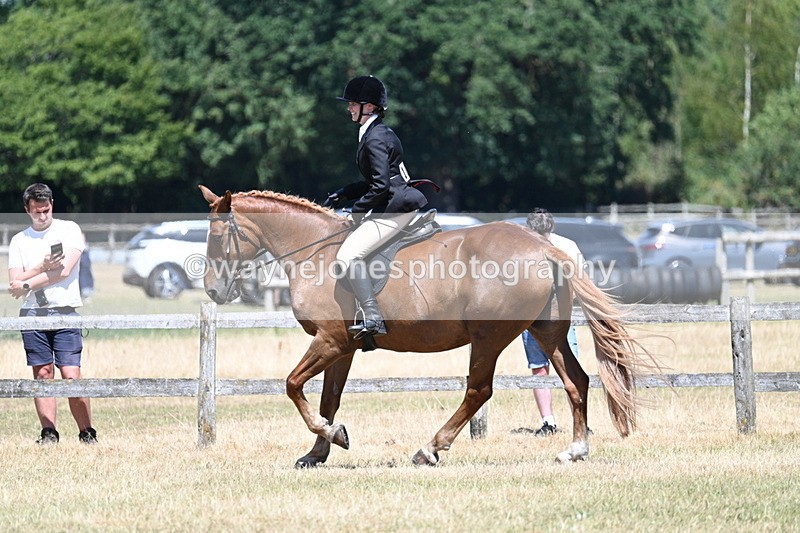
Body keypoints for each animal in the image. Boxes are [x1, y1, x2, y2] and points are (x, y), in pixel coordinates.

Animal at [199, 185, 654, 467]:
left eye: (218, 237)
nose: (214, 290)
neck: (315, 252)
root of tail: (544, 248)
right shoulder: (342, 348)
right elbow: (328, 399)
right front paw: (319, 451)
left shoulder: (330, 341)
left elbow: (292, 385)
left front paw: (333, 437)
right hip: (547, 332)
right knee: (577, 380)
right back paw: (575, 451)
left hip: (489, 337)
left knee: (478, 390)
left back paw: (430, 449)